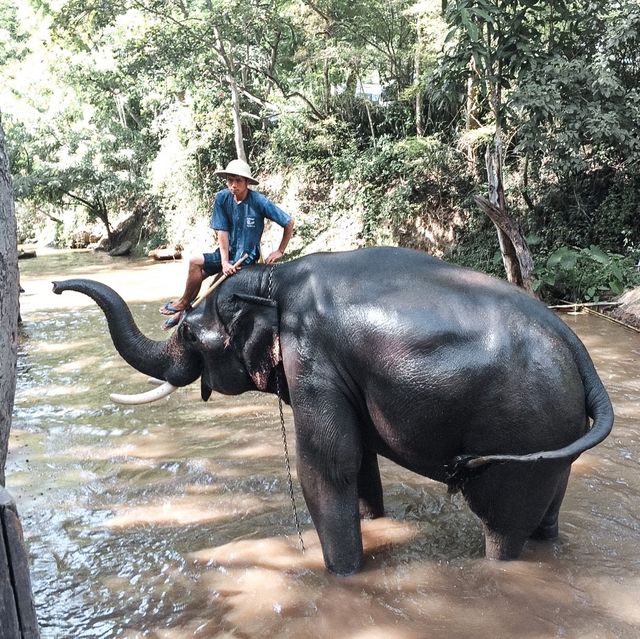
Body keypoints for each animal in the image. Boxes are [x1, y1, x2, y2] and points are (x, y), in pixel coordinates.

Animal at [52, 245, 612, 576]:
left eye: (189, 332)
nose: (56, 285)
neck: (274, 280)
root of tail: (573, 341)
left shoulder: (312, 356)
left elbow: (327, 463)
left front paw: (342, 576)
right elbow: (358, 458)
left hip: (519, 428)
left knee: (502, 523)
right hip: (552, 432)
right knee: (550, 506)